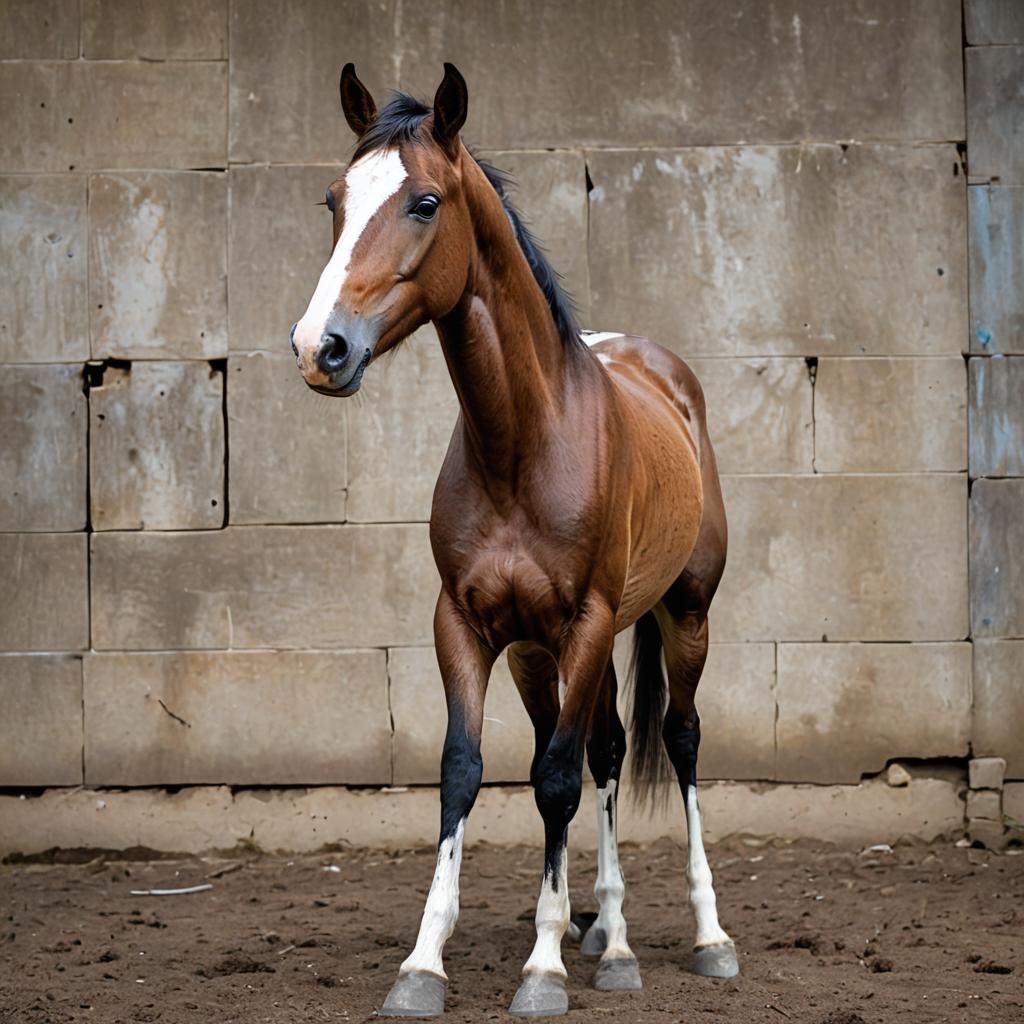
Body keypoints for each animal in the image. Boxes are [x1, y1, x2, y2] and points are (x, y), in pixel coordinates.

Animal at [290, 62, 738, 1018]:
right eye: (335, 199)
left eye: (425, 202)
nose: (320, 348)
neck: (523, 444)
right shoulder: (466, 626)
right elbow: (471, 771)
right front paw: (424, 964)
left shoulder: (589, 623)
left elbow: (558, 780)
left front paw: (541, 968)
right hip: (547, 657)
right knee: (603, 750)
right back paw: (609, 938)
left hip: (682, 617)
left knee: (674, 741)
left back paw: (705, 937)